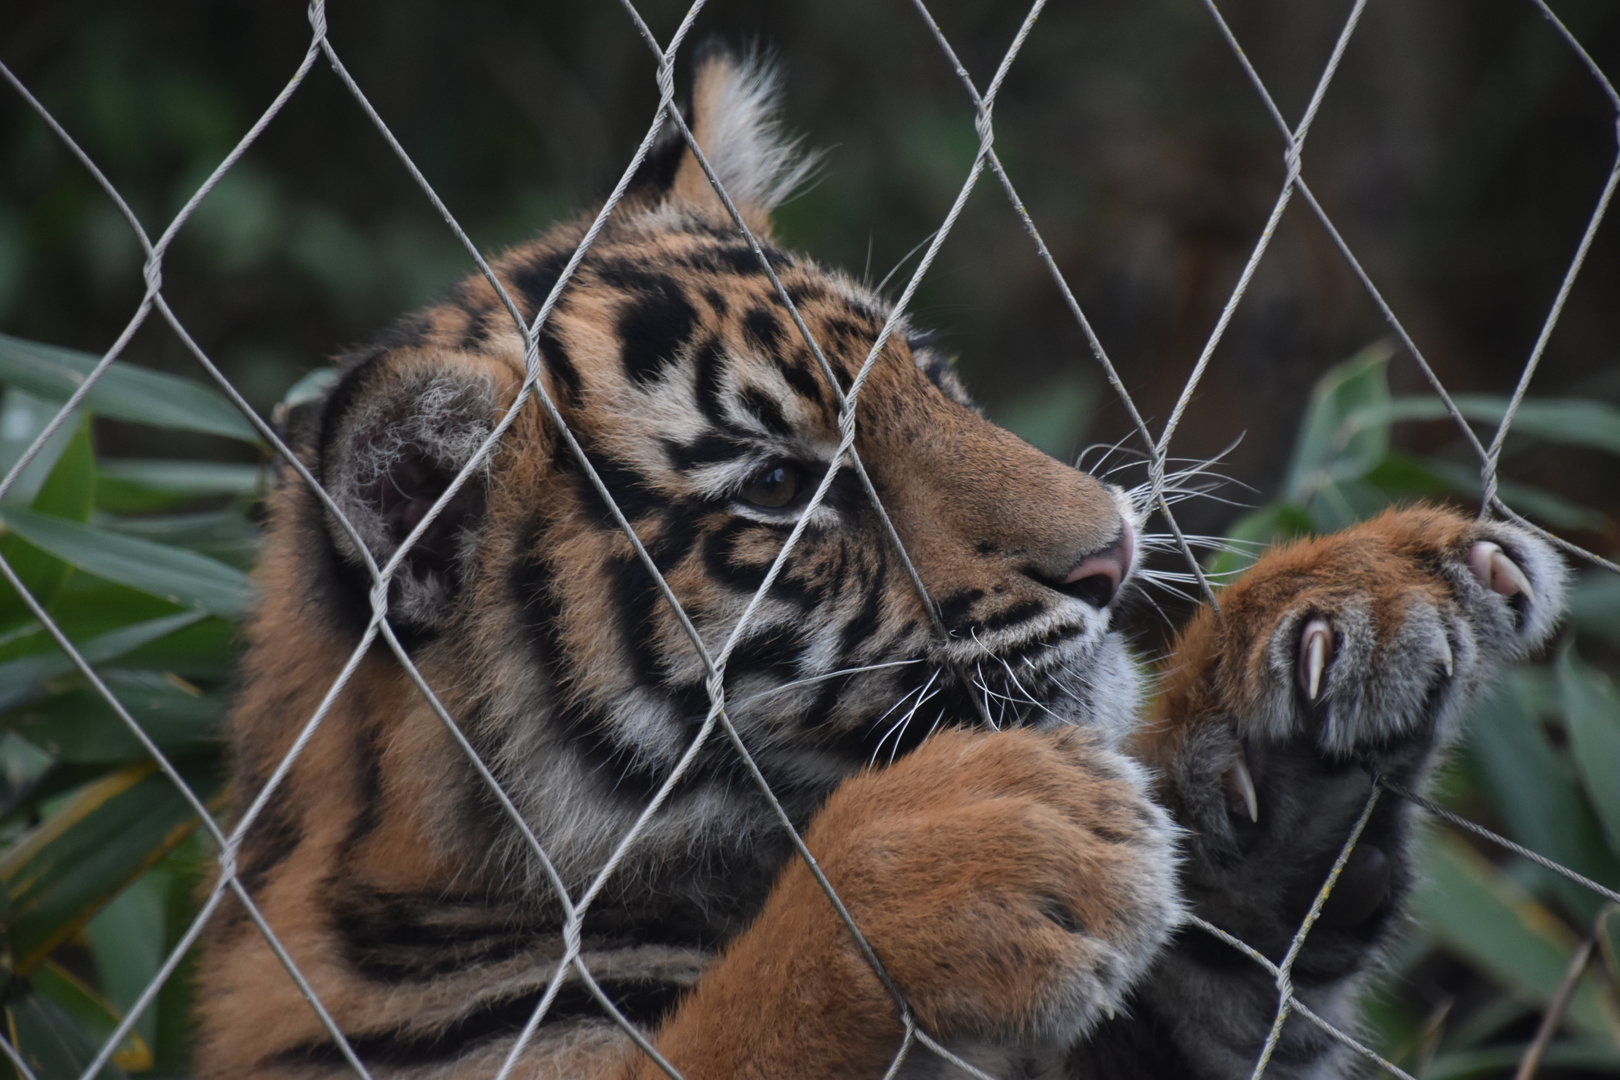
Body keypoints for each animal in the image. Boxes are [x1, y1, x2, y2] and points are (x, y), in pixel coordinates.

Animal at [195, 46, 1568, 1080]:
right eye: (783, 489)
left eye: (932, 378)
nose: (1112, 556)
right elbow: (748, 1025)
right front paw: (986, 844)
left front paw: (1350, 620)